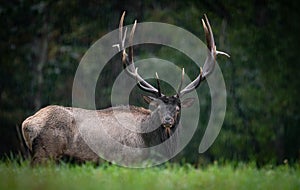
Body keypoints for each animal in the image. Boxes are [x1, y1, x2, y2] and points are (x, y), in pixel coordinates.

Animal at [21, 12, 229, 166]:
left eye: (178, 108)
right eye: (157, 107)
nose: (168, 120)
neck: (152, 144)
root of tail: (27, 124)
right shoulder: (129, 161)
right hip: (46, 154)